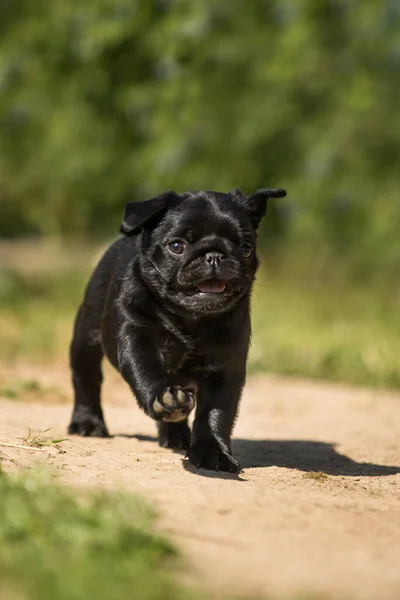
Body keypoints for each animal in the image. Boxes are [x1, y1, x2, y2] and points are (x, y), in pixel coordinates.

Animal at [70, 188, 286, 474]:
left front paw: (213, 452)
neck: (191, 319)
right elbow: (148, 372)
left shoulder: (225, 368)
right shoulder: (138, 338)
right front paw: (165, 397)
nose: (214, 255)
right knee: (86, 379)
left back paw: (176, 434)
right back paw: (88, 422)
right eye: (176, 246)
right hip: (86, 337)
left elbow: (216, 414)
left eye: (245, 249)